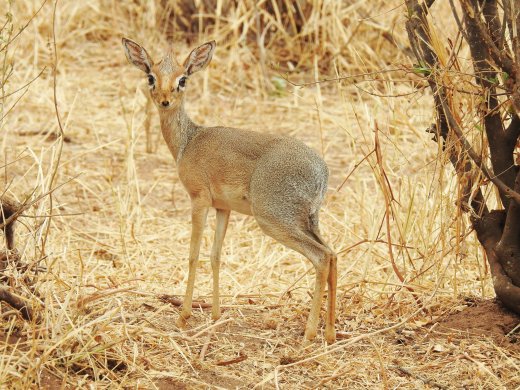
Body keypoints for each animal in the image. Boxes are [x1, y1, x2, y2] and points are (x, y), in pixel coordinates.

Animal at [122, 36, 338, 342]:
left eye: (183, 79)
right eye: (151, 76)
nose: (164, 100)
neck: (188, 141)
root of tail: (321, 171)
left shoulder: (198, 200)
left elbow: (193, 255)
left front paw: (183, 316)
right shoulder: (223, 208)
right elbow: (215, 256)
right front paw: (214, 314)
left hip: (274, 220)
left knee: (321, 257)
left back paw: (309, 333)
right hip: (308, 221)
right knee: (332, 254)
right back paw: (329, 333)